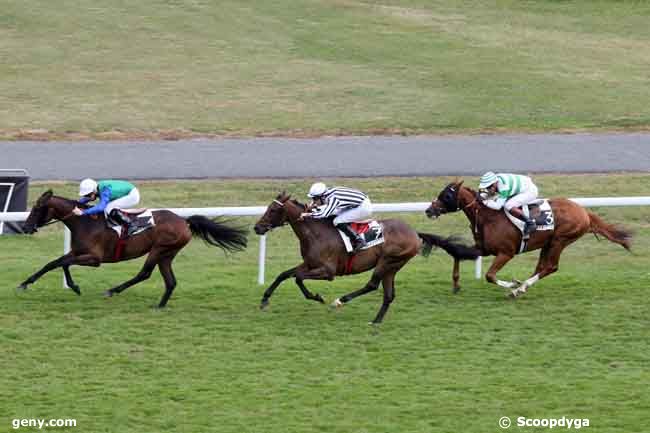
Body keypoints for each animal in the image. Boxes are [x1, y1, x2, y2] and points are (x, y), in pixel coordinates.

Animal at [19, 190, 248, 308]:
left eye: (38, 208)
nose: (25, 227)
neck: (84, 222)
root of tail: (184, 221)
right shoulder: (77, 252)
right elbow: (55, 263)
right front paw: (26, 283)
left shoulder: (94, 258)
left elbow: (62, 263)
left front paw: (73, 286)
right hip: (167, 254)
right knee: (170, 281)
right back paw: (160, 305)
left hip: (159, 249)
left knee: (144, 273)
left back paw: (113, 290)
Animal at [252, 193, 476, 324]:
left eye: (273, 209)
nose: (257, 228)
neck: (315, 233)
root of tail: (414, 233)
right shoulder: (309, 264)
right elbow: (284, 274)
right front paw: (264, 300)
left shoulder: (327, 271)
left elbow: (298, 278)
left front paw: (317, 297)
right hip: (392, 267)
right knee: (389, 295)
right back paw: (376, 321)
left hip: (387, 261)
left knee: (372, 285)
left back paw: (340, 301)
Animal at [422, 180, 632, 296]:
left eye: (446, 195)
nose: (429, 210)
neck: (488, 218)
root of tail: (584, 212)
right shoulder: (484, 248)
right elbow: (457, 252)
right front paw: (456, 284)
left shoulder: (506, 253)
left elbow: (490, 276)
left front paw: (511, 284)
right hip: (548, 243)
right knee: (541, 267)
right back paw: (522, 286)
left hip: (560, 240)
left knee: (550, 267)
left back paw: (518, 289)